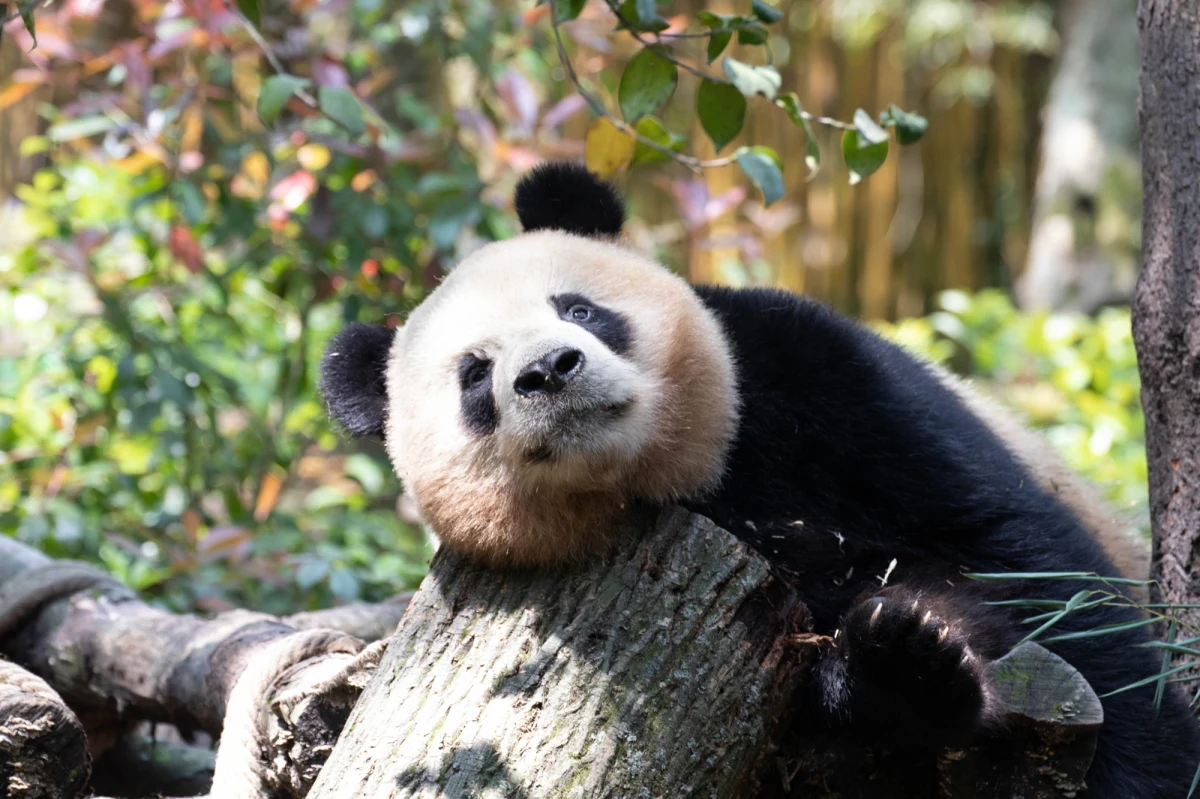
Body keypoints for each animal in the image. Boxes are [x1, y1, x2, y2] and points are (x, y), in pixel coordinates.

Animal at [319, 162, 1196, 797]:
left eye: (579, 308)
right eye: (474, 376)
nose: (550, 368)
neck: (699, 484)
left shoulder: (810, 374)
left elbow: (1024, 556)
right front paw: (900, 666)